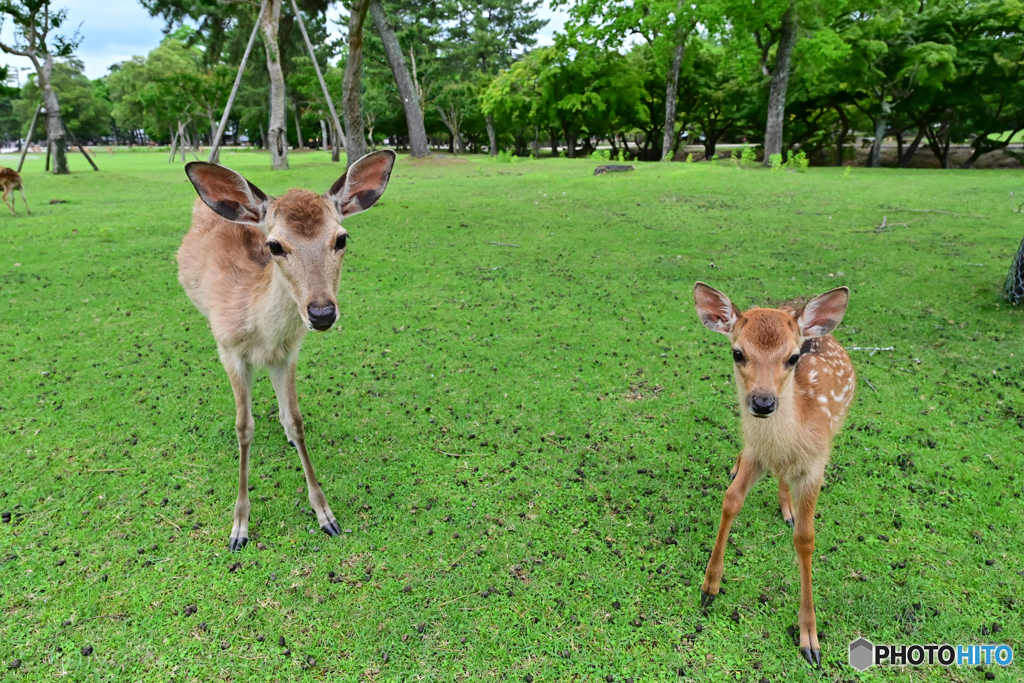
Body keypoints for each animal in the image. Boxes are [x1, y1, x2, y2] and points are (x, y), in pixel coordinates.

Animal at [180, 148, 395, 548]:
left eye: (341, 239)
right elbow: (243, 427)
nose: (322, 313)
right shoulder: (228, 349)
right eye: (275, 246)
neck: (260, 331)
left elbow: (296, 420)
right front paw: (239, 527)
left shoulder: (289, 353)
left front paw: (326, 515)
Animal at [692, 282, 851, 667]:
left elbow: (806, 539)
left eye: (792, 358)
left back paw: (788, 508)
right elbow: (730, 500)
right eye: (737, 353)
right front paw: (710, 587)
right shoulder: (756, 452)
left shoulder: (815, 466)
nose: (763, 403)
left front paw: (810, 639)